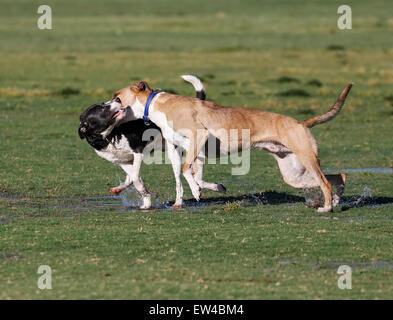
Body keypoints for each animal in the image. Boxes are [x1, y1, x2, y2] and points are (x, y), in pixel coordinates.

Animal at [78, 76, 225, 209]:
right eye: (102, 109)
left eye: (103, 105)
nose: (118, 100)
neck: (110, 136)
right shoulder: (122, 161)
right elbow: (133, 178)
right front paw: (145, 199)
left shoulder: (137, 153)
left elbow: (135, 179)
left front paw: (146, 198)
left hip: (175, 155)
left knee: (182, 181)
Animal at [112, 79, 350, 212]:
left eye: (117, 97)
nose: (105, 105)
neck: (156, 104)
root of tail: (301, 122)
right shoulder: (179, 151)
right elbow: (182, 177)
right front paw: (184, 200)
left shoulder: (199, 136)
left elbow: (188, 172)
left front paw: (197, 192)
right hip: (294, 175)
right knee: (338, 177)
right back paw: (337, 199)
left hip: (306, 160)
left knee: (326, 182)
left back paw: (327, 207)